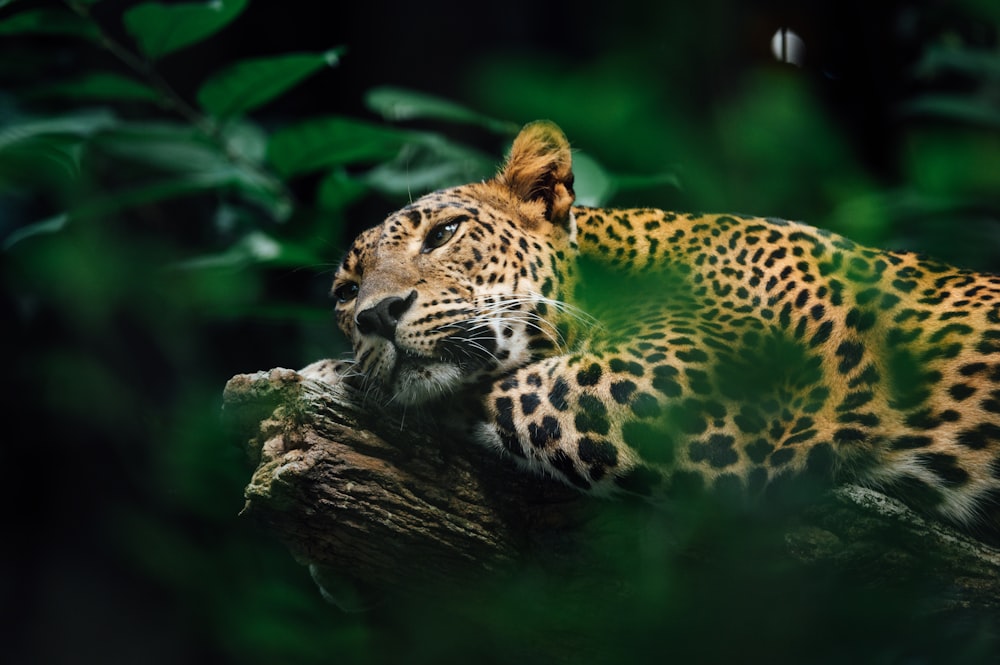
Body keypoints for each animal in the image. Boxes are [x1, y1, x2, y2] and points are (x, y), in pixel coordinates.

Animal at [304, 120, 1000, 540]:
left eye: (444, 233)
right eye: (344, 293)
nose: (375, 316)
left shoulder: (670, 393)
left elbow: (493, 388)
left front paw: (330, 373)